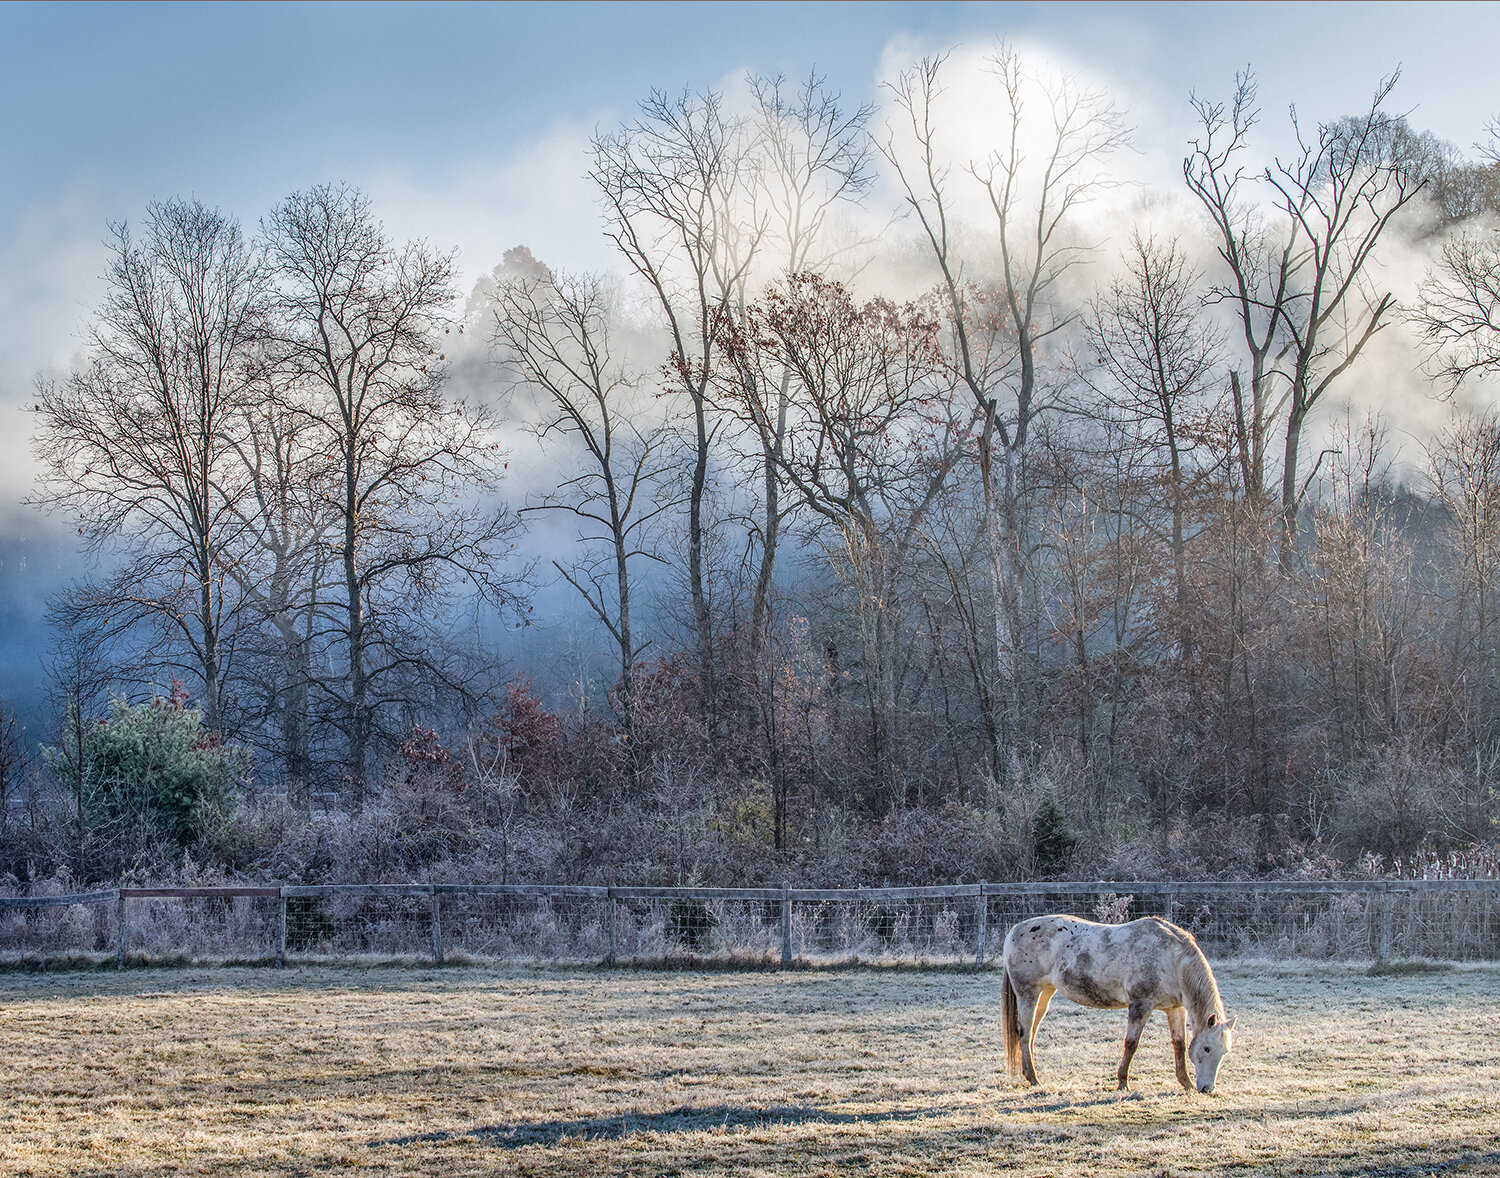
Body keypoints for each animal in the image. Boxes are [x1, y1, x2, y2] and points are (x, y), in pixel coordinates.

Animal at [1002, 912, 1236, 1092]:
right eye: (1207, 1048)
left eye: (1224, 1052)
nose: (1207, 1089)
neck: (1171, 958)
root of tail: (1015, 931)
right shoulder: (1140, 1005)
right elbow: (1131, 1044)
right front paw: (1123, 1082)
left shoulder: (1175, 1009)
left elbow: (1179, 1044)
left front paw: (1185, 1083)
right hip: (1028, 993)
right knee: (1024, 1032)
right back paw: (1033, 1078)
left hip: (1045, 993)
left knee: (1030, 1033)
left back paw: (1030, 1074)